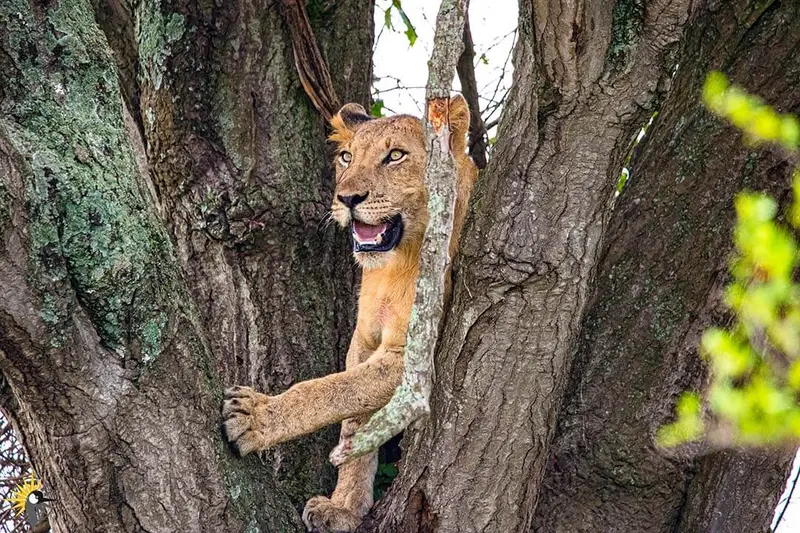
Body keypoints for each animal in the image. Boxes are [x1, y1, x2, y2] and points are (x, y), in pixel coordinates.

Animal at [222, 95, 478, 532]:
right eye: (346, 157)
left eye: (395, 156)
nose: (347, 199)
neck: (396, 264)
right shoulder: (364, 341)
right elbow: (353, 418)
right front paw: (342, 507)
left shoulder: (414, 360)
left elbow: (327, 390)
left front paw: (256, 416)